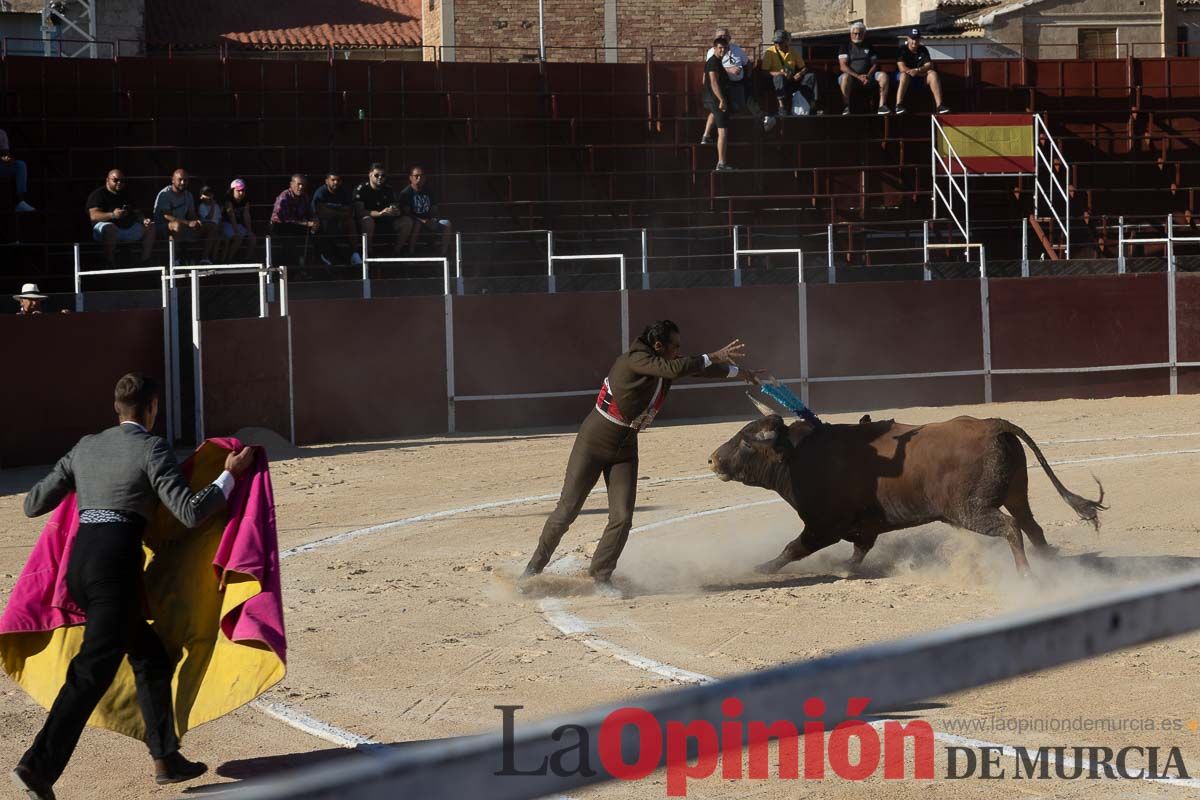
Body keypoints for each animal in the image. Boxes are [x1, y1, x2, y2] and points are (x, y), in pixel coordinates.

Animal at [705, 407, 1108, 575]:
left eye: (746, 442)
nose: (711, 459)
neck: (800, 456)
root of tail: (993, 424)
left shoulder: (823, 526)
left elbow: (793, 548)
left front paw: (763, 567)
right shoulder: (863, 527)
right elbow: (858, 552)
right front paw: (843, 569)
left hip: (972, 509)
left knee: (1011, 529)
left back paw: (1026, 575)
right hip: (1016, 495)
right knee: (1031, 526)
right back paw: (1051, 564)